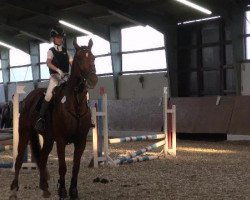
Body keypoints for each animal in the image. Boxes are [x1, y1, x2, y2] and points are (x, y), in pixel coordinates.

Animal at [9, 39, 96, 200]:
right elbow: (63, 167)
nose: (93, 80)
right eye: (79, 58)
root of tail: (29, 97)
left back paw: (44, 188)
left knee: (42, 159)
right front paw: (62, 191)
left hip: (48, 139)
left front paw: (73, 192)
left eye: (93, 58)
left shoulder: (80, 140)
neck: (75, 104)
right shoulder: (61, 140)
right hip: (24, 133)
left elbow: (76, 167)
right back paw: (14, 189)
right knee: (18, 160)